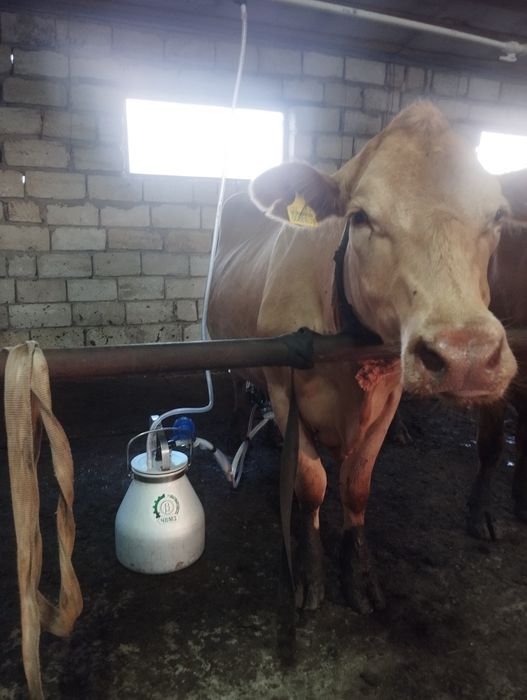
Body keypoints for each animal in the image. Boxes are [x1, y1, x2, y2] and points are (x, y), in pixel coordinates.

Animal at [207, 101, 518, 613]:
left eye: (497, 214)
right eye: (359, 217)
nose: (466, 355)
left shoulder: (388, 400)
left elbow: (356, 487)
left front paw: (359, 576)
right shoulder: (285, 390)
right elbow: (311, 484)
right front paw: (310, 574)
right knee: (236, 384)